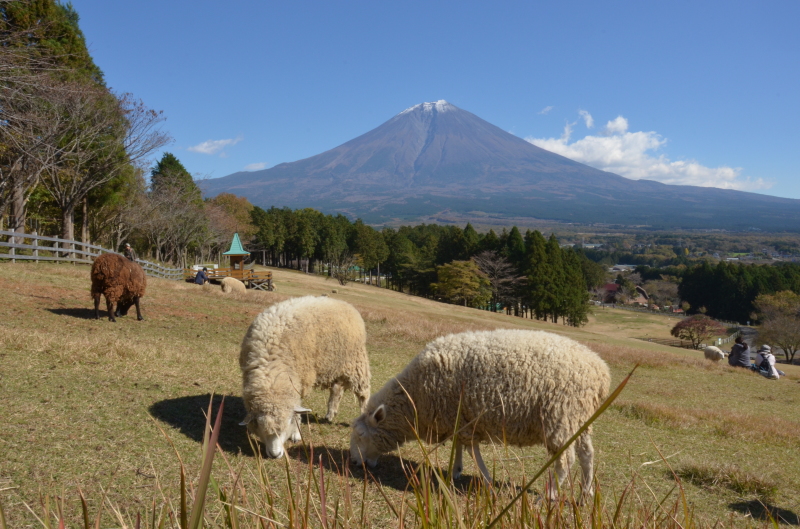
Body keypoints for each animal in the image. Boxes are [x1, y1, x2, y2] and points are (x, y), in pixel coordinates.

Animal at [239, 294, 374, 456]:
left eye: (288, 422)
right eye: (260, 425)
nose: (275, 454)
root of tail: (344, 303)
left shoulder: (301, 380)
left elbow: (298, 411)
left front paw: (296, 433)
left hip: (356, 362)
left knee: (363, 393)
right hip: (335, 363)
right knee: (336, 390)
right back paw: (330, 414)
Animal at [348, 330, 608, 500]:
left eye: (360, 434)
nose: (354, 463)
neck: (415, 398)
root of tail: (601, 373)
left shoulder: (463, 417)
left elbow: (471, 448)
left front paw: (484, 477)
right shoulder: (459, 417)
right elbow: (461, 445)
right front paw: (457, 470)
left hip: (561, 417)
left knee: (566, 461)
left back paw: (548, 496)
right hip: (579, 420)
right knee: (587, 455)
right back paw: (585, 493)